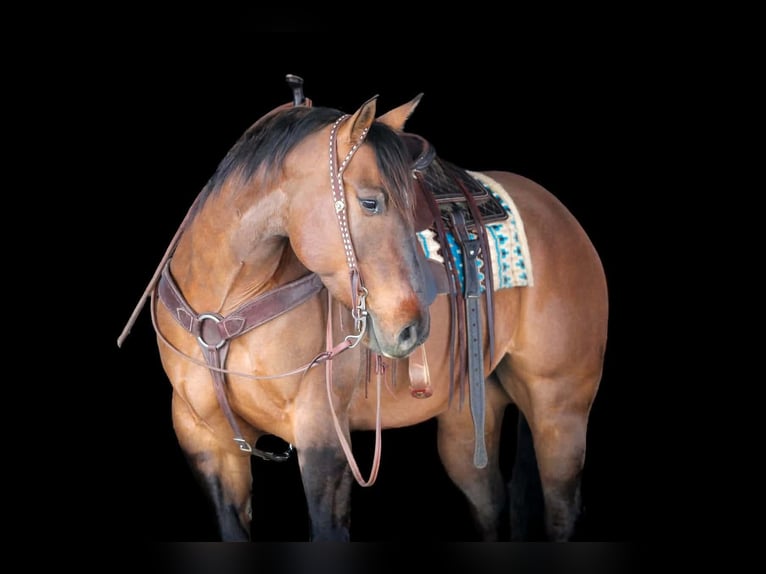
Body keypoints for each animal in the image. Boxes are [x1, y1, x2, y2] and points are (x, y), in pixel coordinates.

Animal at [118, 77, 608, 542]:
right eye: (371, 202)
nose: (412, 330)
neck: (225, 307)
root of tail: (560, 216)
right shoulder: (208, 444)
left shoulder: (322, 440)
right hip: (470, 416)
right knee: (489, 506)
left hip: (559, 410)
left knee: (560, 511)